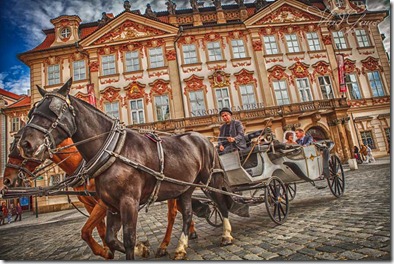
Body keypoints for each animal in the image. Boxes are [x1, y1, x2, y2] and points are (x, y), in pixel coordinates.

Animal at [17, 79, 234, 260]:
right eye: (32, 112)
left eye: (54, 110)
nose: (25, 144)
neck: (113, 151)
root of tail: (201, 137)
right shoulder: (112, 205)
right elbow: (111, 238)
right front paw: (140, 248)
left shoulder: (128, 202)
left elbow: (129, 238)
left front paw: (135, 248)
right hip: (185, 188)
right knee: (187, 214)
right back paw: (180, 248)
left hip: (211, 179)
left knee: (220, 204)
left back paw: (226, 235)